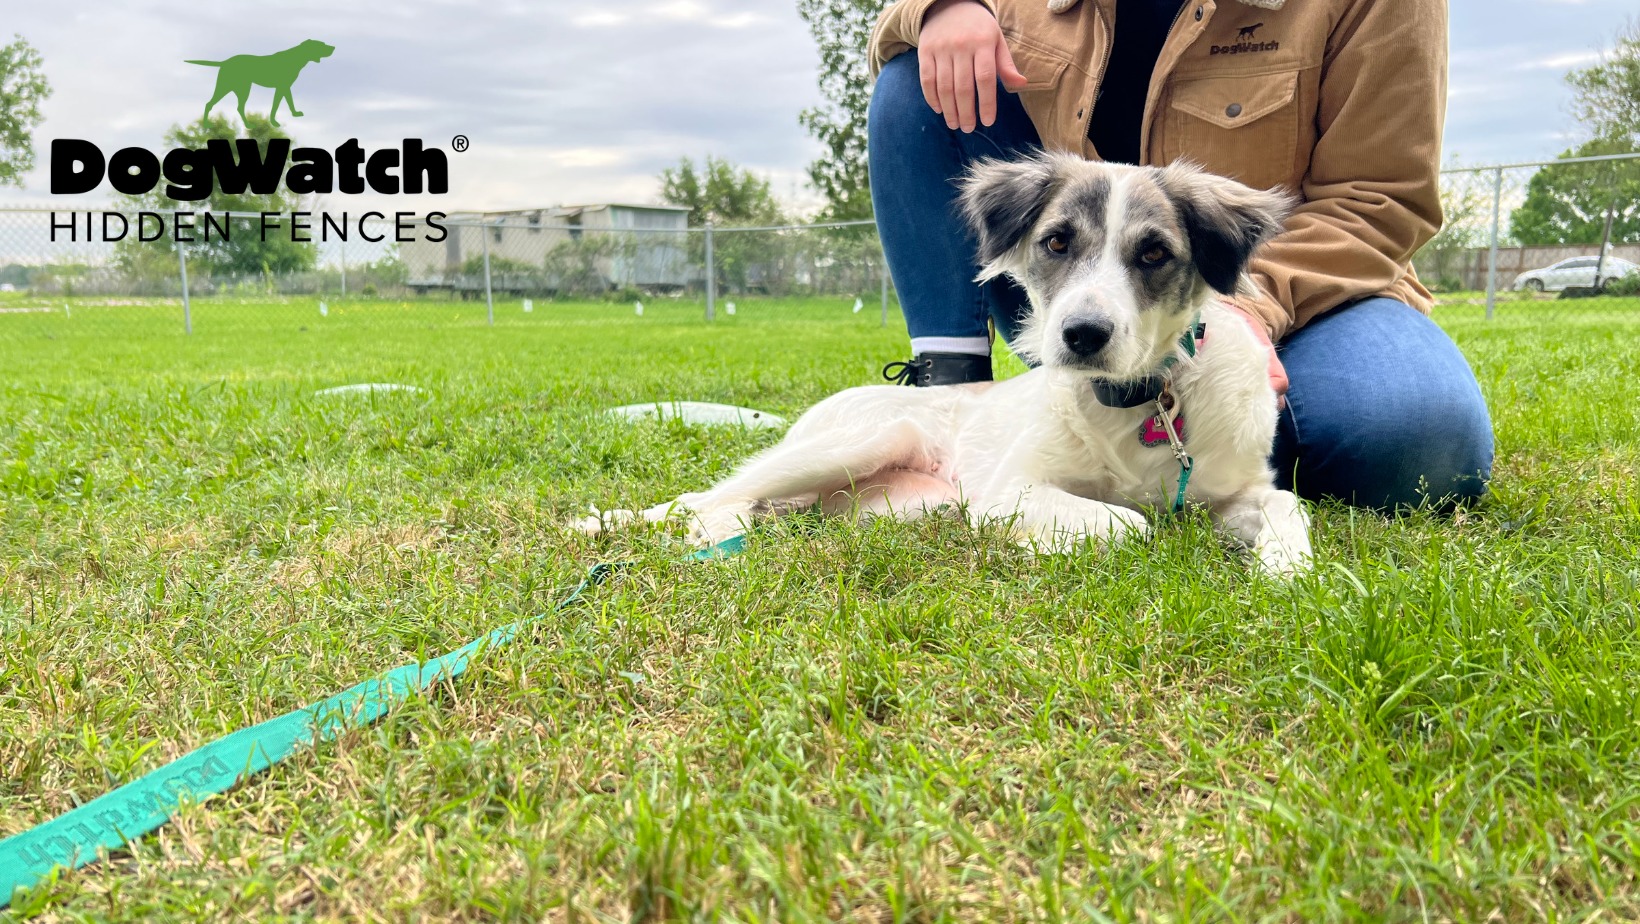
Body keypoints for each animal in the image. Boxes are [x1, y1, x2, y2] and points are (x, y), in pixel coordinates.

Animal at [583, 155, 1312, 580]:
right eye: (1056, 242)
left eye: (1155, 252)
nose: (1081, 336)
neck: (1135, 404)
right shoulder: (1008, 490)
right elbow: (1129, 524)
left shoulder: (1238, 488)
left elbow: (1287, 504)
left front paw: (1288, 566)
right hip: (864, 439)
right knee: (706, 499)